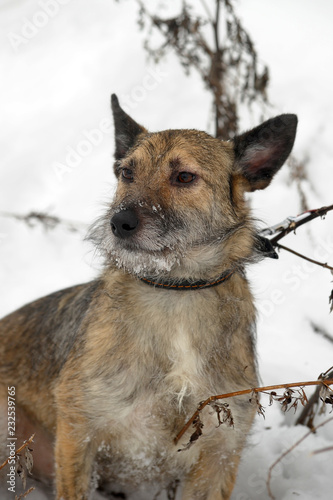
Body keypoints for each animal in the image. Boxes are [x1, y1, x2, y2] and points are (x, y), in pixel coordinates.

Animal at [0, 94, 296, 500]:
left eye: (184, 176)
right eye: (126, 173)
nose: (119, 223)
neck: (176, 291)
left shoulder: (220, 451)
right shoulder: (79, 430)